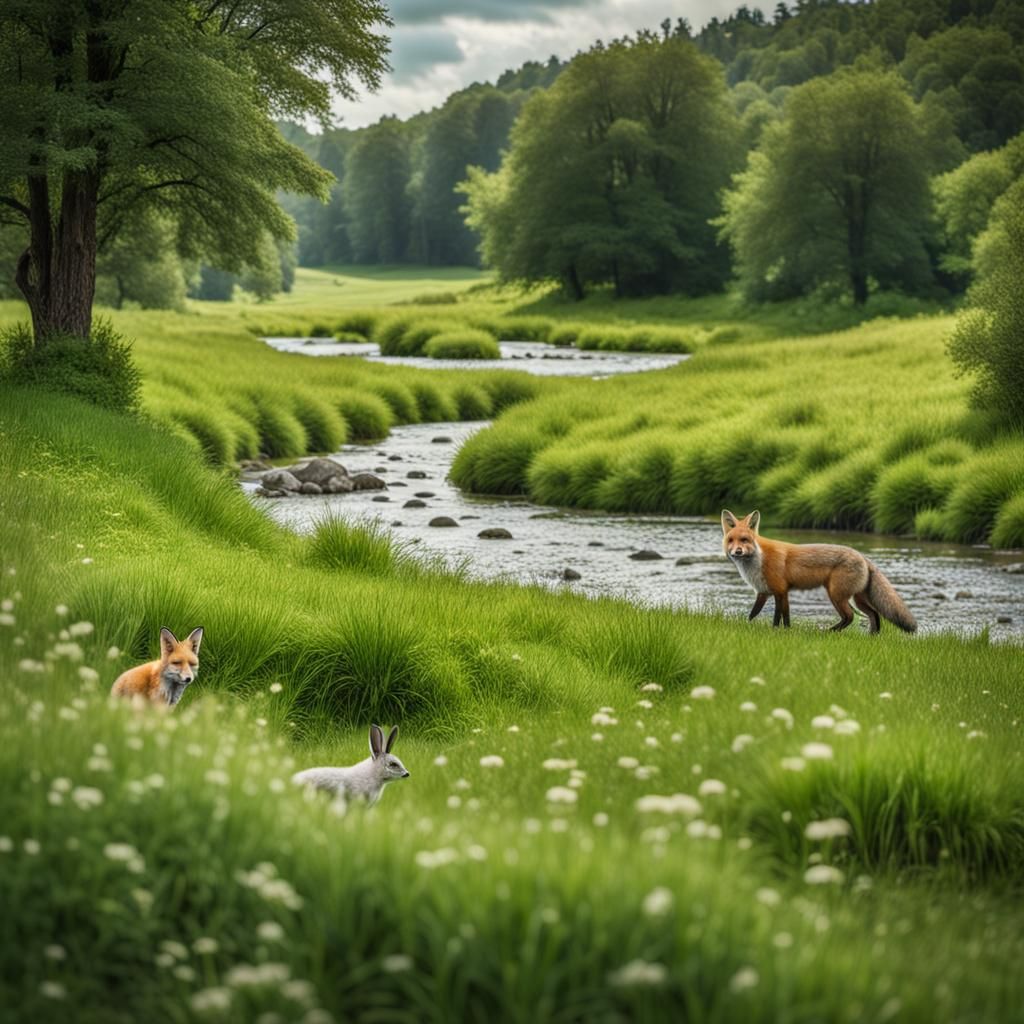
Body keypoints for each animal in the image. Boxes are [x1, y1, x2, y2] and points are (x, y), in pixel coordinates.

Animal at [721, 510, 916, 634]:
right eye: (731, 540)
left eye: (744, 540)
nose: (737, 551)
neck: (758, 559)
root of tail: (862, 556)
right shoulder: (765, 592)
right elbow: (757, 615)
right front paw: (781, 631)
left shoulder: (779, 591)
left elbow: (778, 617)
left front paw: (775, 632)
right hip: (857, 598)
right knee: (874, 615)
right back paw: (872, 637)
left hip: (837, 595)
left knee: (850, 617)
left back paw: (829, 632)